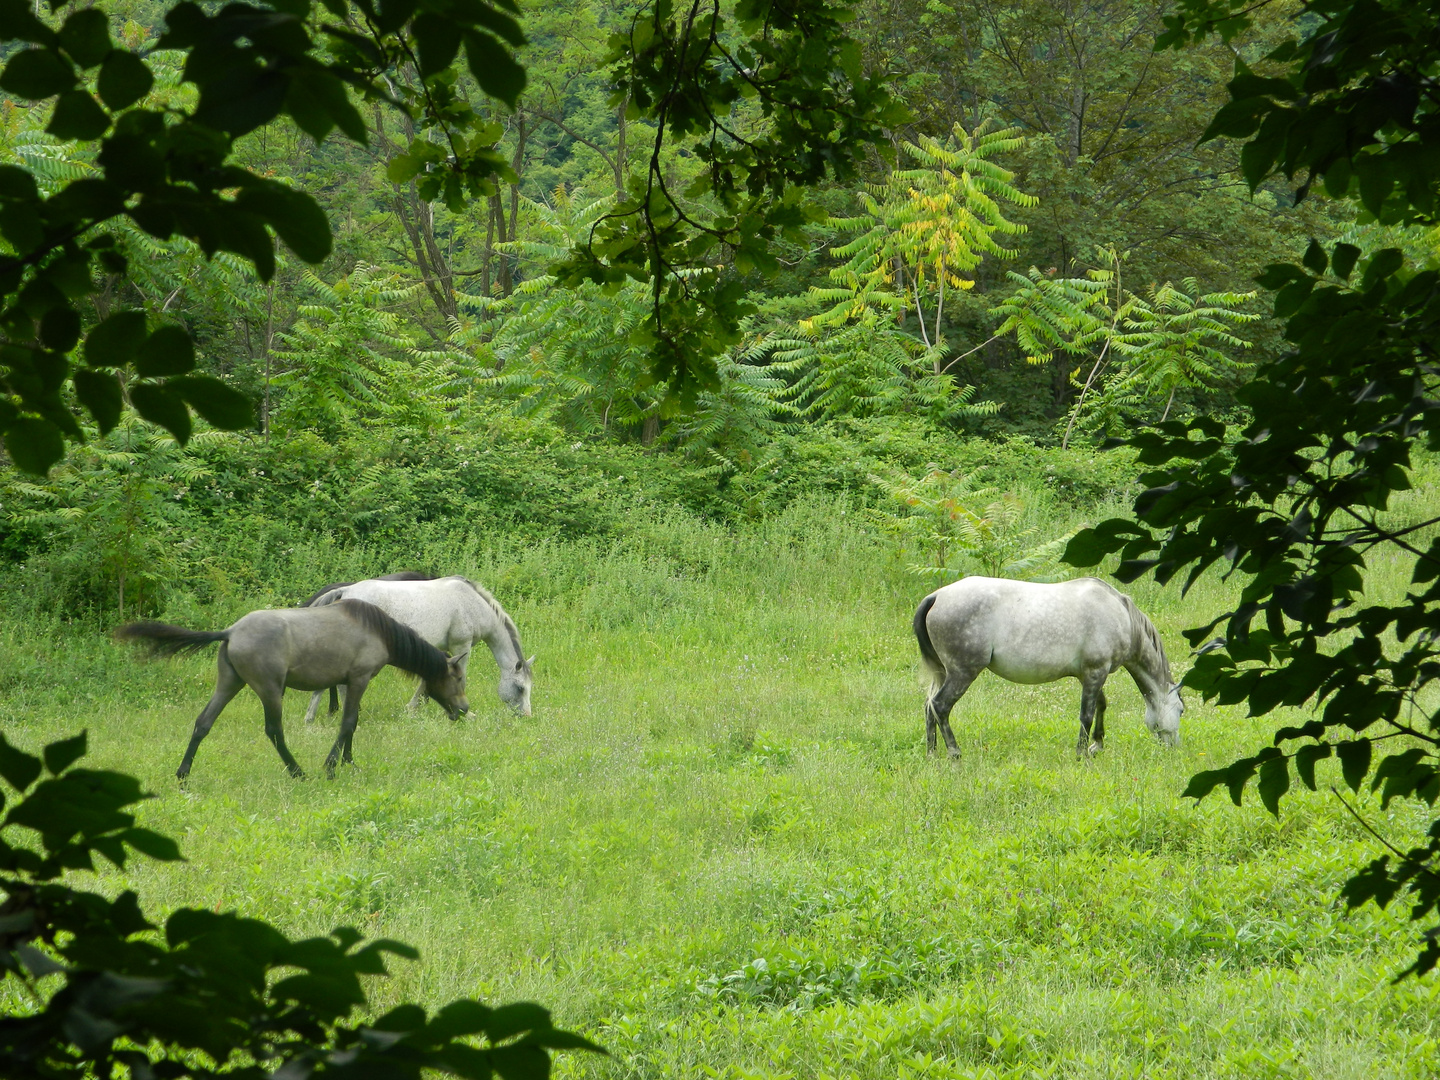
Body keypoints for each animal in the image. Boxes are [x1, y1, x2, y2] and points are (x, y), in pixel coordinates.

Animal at [119, 596, 466, 783]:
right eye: (459, 678)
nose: (463, 709)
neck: (379, 632)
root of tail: (230, 632)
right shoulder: (359, 679)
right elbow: (348, 723)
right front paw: (331, 766)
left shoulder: (351, 682)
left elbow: (351, 725)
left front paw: (349, 762)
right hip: (270, 691)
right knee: (274, 731)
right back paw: (297, 771)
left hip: (229, 684)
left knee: (203, 723)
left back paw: (183, 774)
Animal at [303, 578, 535, 722]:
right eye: (520, 688)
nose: (526, 716)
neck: (473, 604)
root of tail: (345, 591)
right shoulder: (461, 646)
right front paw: (465, 715)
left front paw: (414, 709)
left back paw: (310, 718)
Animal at [910, 576, 1180, 760]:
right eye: (1182, 710)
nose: (1174, 747)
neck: (1120, 615)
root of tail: (937, 597)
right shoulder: (1096, 672)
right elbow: (1087, 714)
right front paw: (1082, 754)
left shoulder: (1090, 674)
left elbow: (1100, 706)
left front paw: (1097, 745)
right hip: (962, 673)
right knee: (940, 706)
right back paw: (954, 754)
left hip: (944, 672)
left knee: (928, 706)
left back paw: (932, 754)